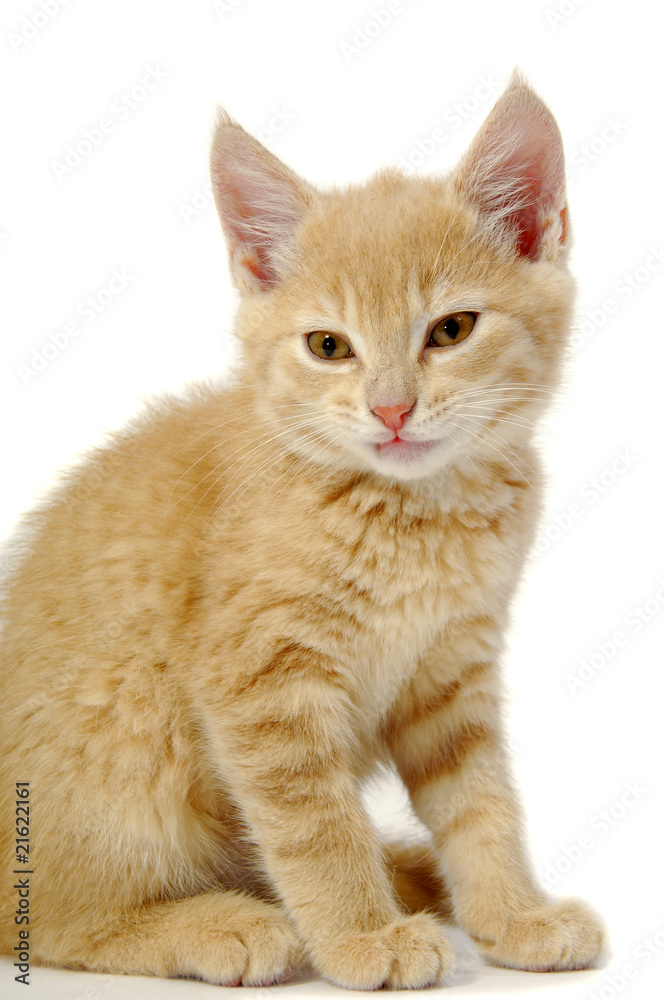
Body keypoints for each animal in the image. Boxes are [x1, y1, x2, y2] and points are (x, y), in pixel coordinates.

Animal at [0, 74, 608, 988]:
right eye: (329, 346)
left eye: (452, 330)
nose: (391, 409)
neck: (415, 515)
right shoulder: (260, 681)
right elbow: (315, 824)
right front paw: (363, 937)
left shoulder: (451, 669)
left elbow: (481, 801)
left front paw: (512, 914)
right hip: (125, 727)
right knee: (50, 919)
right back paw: (224, 924)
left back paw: (409, 871)